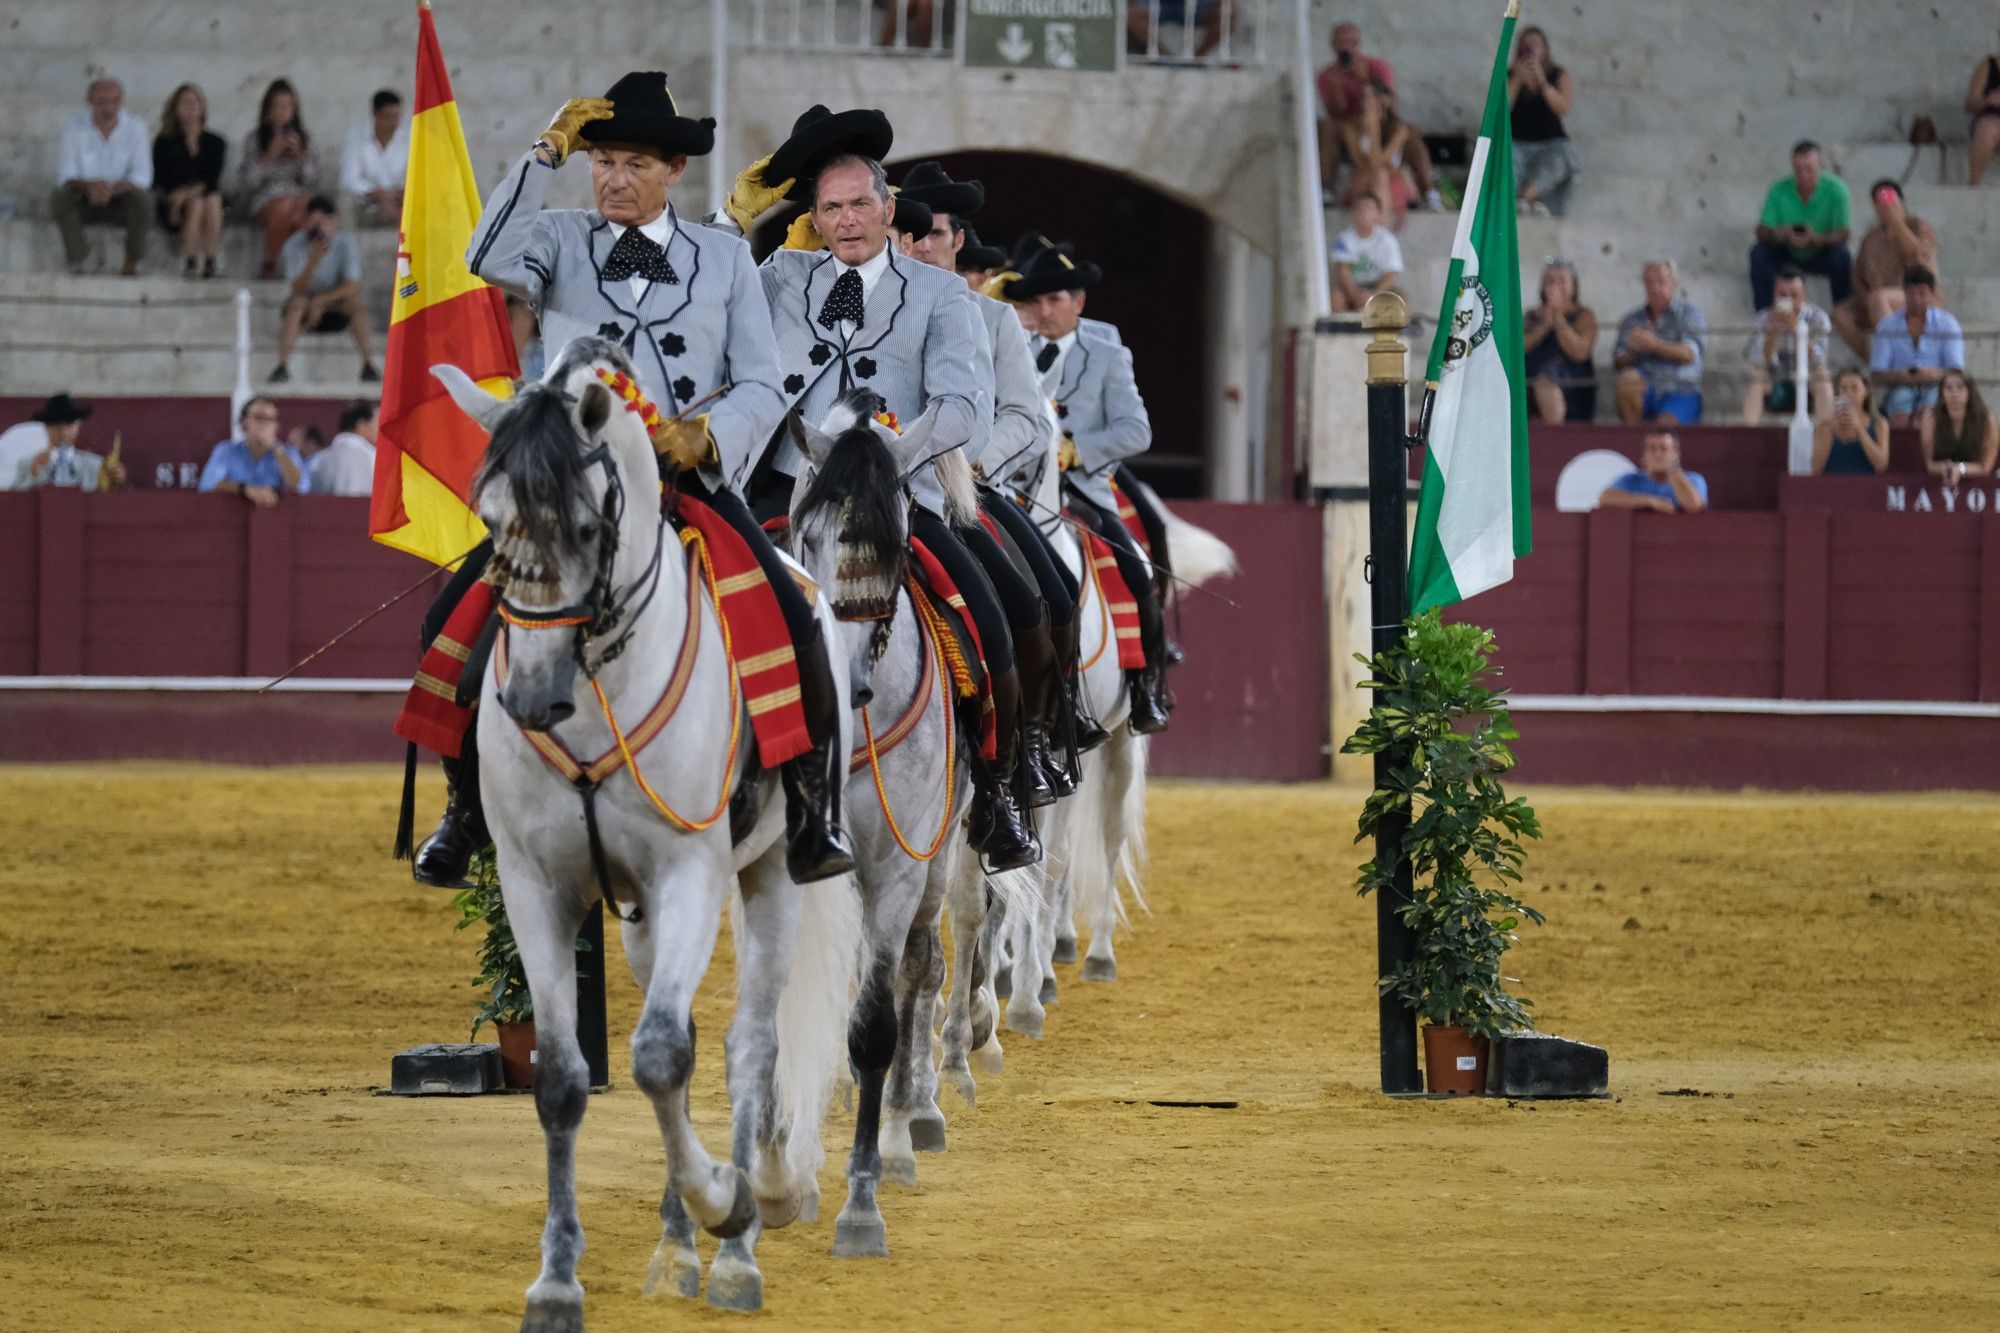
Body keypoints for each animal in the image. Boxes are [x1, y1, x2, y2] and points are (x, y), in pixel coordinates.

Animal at [442, 340, 856, 1320]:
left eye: (590, 527)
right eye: (491, 522)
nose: (531, 700)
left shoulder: (690, 874)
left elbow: (665, 1054)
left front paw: (726, 1202)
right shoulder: (537, 886)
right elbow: (565, 1074)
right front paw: (557, 1279)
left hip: (772, 874)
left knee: (746, 1045)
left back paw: (740, 1234)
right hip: (635, 918)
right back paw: (676, 1245)